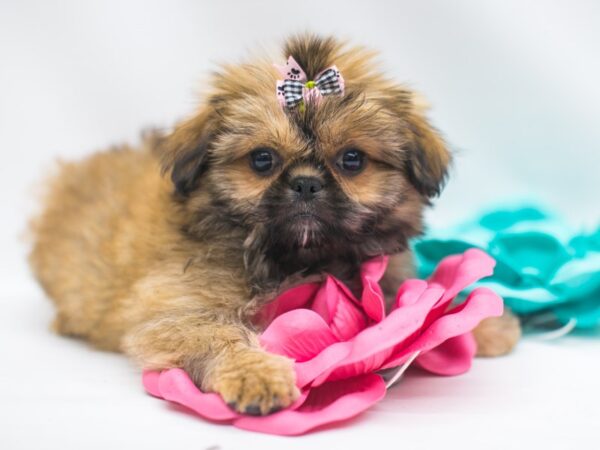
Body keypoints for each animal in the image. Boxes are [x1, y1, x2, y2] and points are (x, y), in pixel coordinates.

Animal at [28, 34, 516, 414]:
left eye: (352, 160)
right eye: (262, 159)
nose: (305, 183)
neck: (298, 260)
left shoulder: (380, 281)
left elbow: (421, 305)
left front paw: (483, 324)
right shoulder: (176, 310)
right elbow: (218, 335)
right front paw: (256, 375)